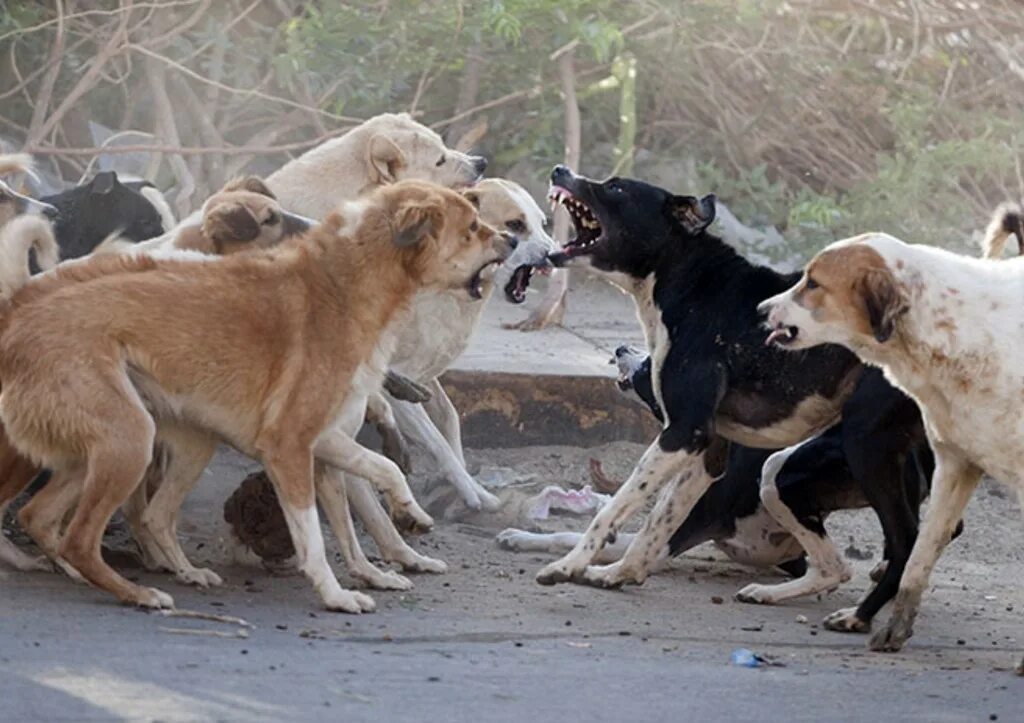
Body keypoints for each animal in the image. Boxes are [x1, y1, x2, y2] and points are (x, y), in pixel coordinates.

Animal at [0, 180, 509, 606]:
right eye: (471, 228)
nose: (509, 238)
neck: (345, 287)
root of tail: (19, 310)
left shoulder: (325, 448)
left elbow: (369, 494)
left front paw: (392, 541)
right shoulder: (288, 448)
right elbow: (315, 536)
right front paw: (335, 595)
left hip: (146, 448)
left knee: (73, 517)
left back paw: (169, 572)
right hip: (129, 439)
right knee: (79, 537)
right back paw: (137, 593)